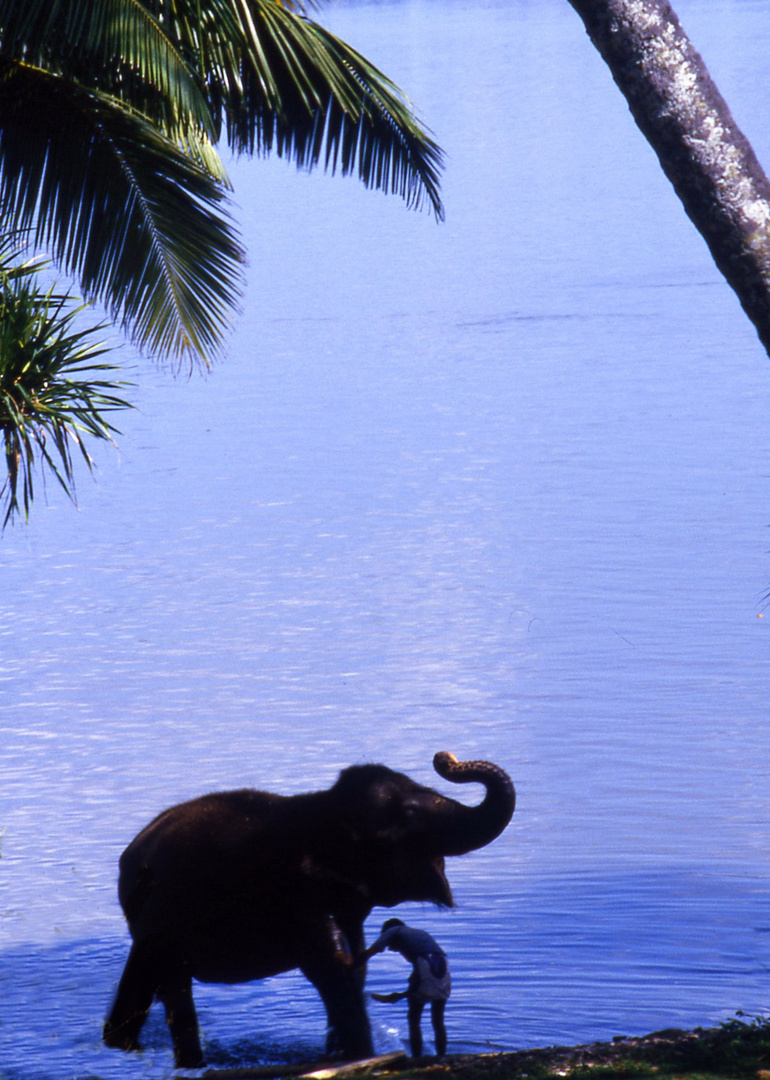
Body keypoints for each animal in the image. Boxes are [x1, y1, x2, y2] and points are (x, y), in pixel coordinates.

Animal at [100, 747, 509, 1067]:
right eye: (408, 816)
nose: (445, 758)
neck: (321, 807)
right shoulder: (297, 894)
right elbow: (333, 971)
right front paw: (360, 1056)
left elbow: (353, 967)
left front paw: (338, 1053)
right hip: (162, 924)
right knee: (175, 992)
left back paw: (121, 1046)